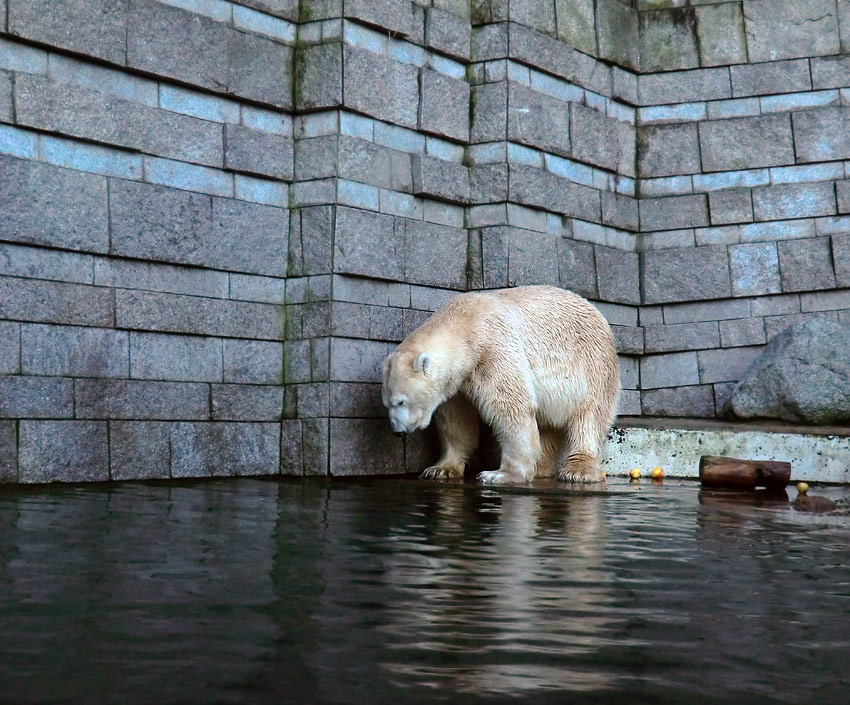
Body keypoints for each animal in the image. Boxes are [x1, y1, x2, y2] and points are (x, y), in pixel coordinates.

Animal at [382, 286, 616, 484]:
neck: (467, 324)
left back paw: (578, 470)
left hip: (593, 365)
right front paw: (440, 469)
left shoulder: (492, 349)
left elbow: (510, 406)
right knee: (547, 423)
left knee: (589, 417)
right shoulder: (458, 383)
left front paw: (499, 474)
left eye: (401, 401)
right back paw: (540, 468)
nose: (397, 431)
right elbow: (456, 421)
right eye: (387, 404)